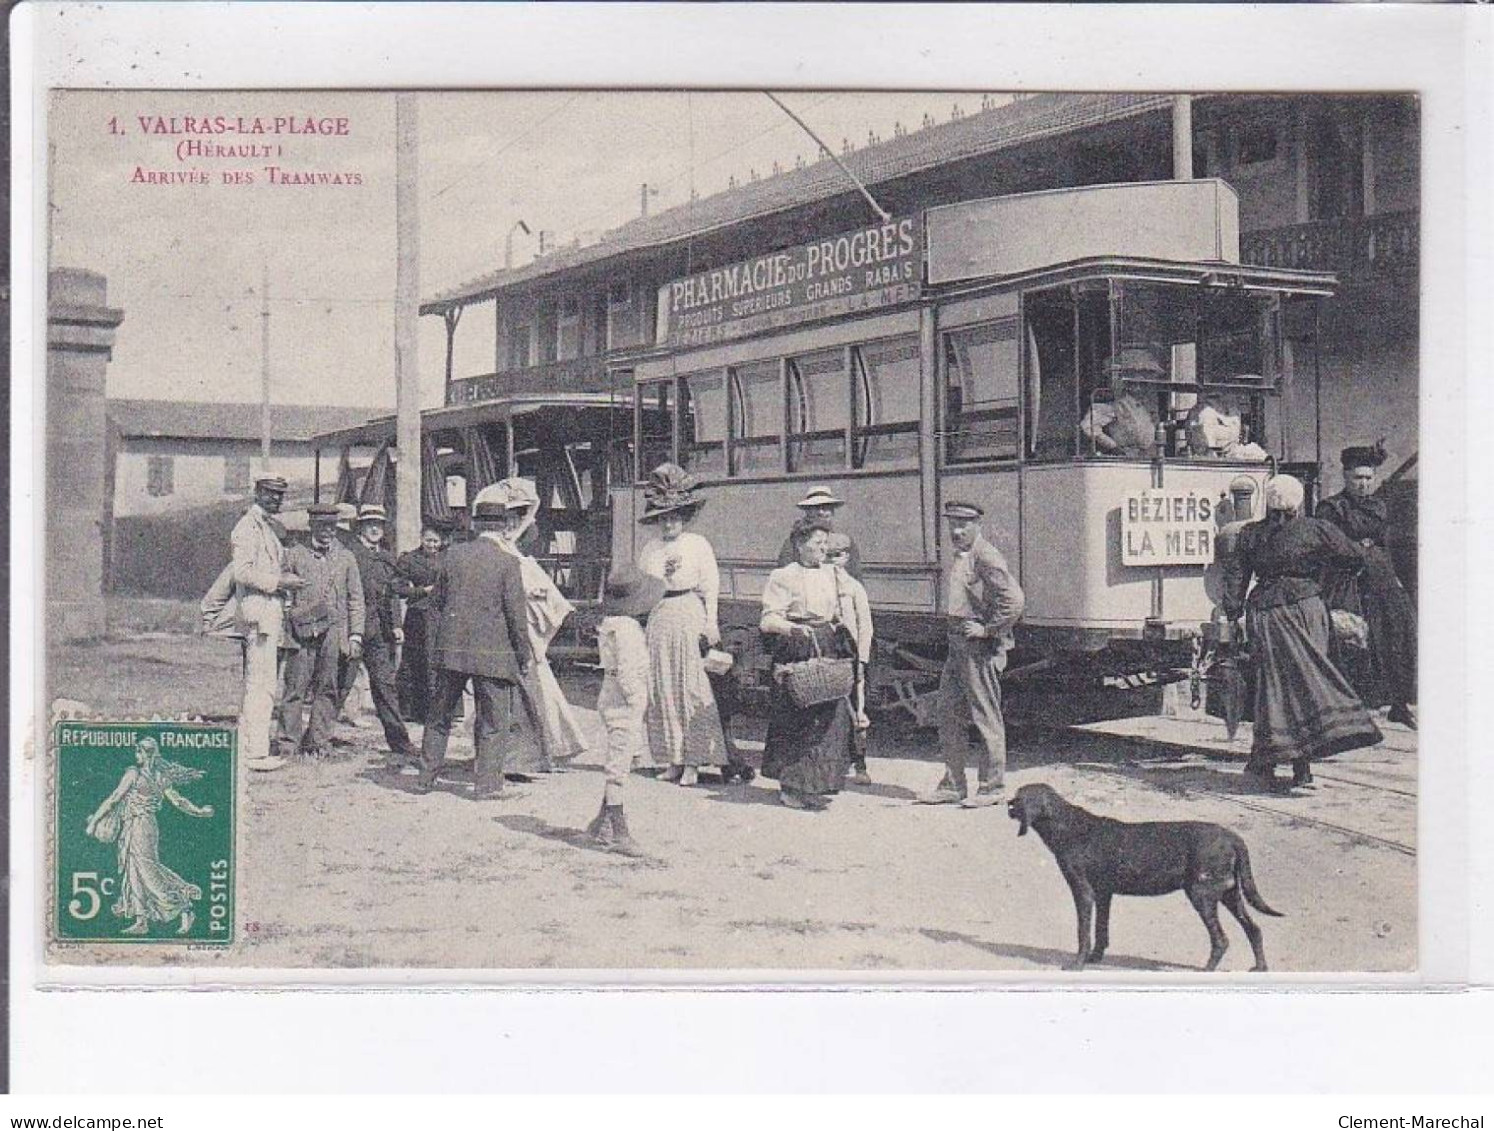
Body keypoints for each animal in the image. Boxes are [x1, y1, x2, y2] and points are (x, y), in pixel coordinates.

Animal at [1009, 776, 1278, 968]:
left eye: (1019, 800)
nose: (1007, 806)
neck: (1070, 827)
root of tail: (1233, 837)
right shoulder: (1104, 894)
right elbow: (1101, 931)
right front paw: (1095, 958)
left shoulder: (1083, 892)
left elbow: (1083, 933)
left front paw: (1077, 964)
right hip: (1229, 894)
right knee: (1254, 930)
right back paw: (1260, 967)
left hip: (1202, 896)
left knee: (1221, 940)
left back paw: (1208, 970)